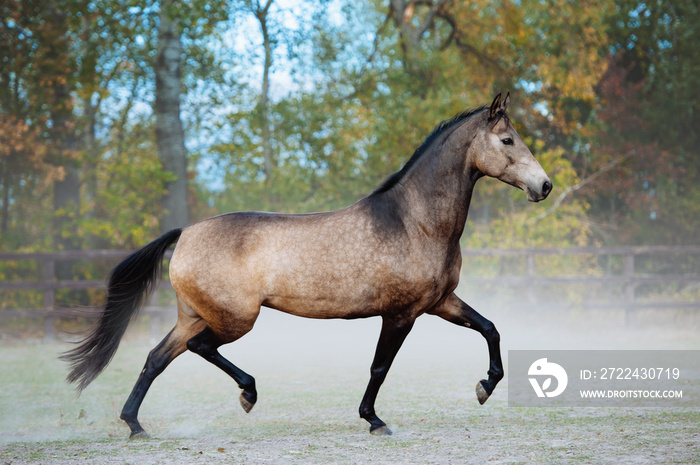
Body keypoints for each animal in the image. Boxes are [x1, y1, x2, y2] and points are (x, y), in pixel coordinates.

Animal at [61, 92, 552, 436]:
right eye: (507, 140)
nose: (544, 185)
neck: (415, 223)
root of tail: (184, 233)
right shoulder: (401, 313)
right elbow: (379, 367)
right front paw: (374, 420)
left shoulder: (440, 302)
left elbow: (490, 328)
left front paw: (485, 387)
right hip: (234, 318)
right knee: (200, 348)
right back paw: (247, 393)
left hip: (194, 314)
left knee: (155, 359)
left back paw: (135, 425)